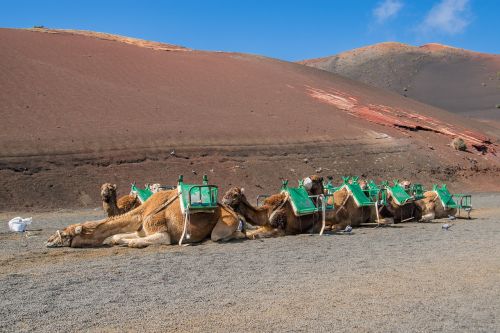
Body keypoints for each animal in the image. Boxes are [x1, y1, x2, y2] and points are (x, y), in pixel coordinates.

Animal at [46, 189, 245, 246]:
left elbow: (158, 239)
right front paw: (118, 240)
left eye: (65, 235)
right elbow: (117, 236)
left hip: (224, 224)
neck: (141, 212)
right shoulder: (141, 230)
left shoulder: (161, 231)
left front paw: (131, 243)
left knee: (221, 235)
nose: (48, 240)